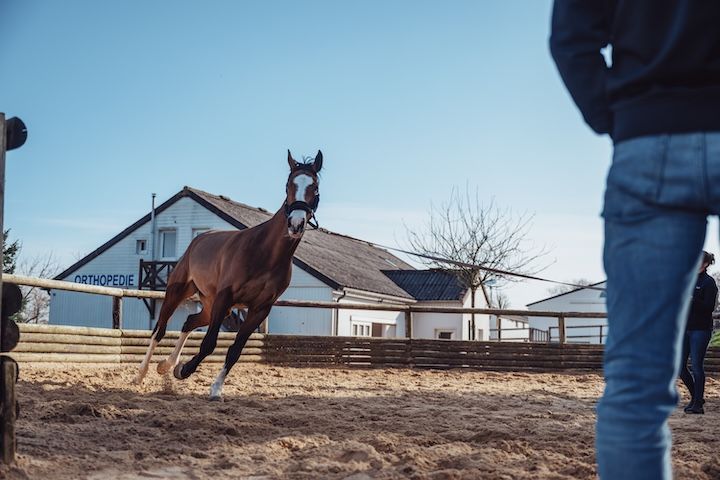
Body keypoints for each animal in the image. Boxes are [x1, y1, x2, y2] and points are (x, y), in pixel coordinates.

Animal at [133, 150, 322, 400]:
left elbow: (235, 351)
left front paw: (213, 387)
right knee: (159, 330)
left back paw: (166, 365)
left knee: (189, 321)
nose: (296, 224)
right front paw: (184, 370)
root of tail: (199, 239)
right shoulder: (226, 297)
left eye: (315, 187)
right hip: (179, 291)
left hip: (211, 306)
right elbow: (209, 344)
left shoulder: (259, 309)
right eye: (288, 186)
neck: (265, 253)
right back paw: (141, 374)